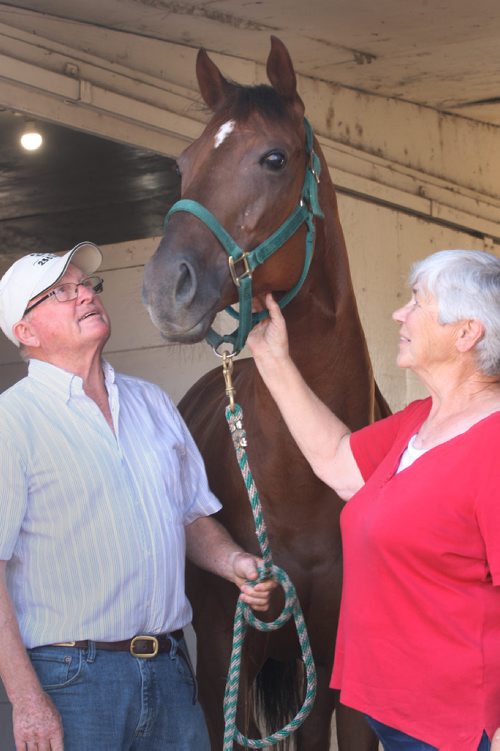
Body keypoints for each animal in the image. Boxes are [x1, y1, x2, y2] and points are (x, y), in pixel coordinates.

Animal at [143, 36, 388, 751]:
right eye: (184, 161)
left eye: (274, 158)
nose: (165, 287)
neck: (304, 483)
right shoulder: (228, 653)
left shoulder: (339, 671)